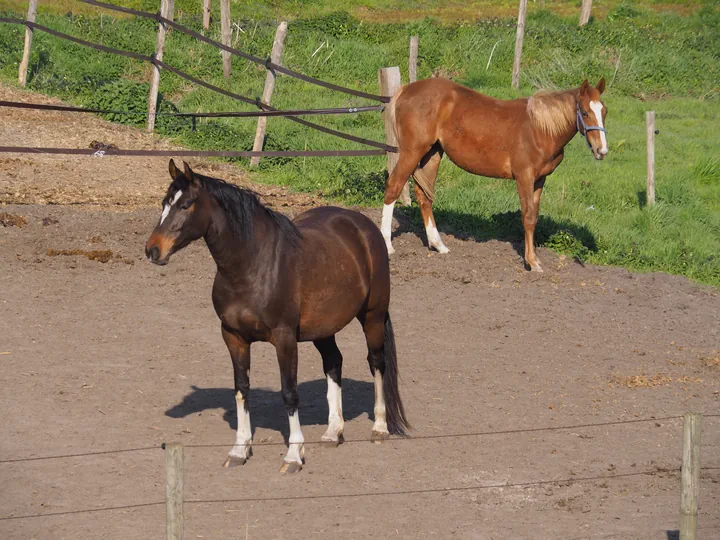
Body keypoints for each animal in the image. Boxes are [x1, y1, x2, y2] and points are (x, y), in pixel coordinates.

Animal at [143, 159, 408, 472]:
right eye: (164, 202)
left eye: (185, 205)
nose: (152, 250)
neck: (253, 265)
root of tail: (363, 226)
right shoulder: (233, 337)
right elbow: (242, 390)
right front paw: (239, 450)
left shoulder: (284, 339)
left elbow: (289, 393)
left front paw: (293, 455)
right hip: (324, 329)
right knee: (334, 362)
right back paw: (333, 431)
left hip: (373, 317)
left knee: (376, 362)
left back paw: (379, 427)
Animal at [382, 78, 608, 272]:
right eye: (585, 112)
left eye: (604, 112)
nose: (602, 151)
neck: (540, 129)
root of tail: (406, 89)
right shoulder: (524, 177)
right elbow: (527, 217)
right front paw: (532, 262)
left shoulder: (539, 180)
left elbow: (534, 216)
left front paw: (534, 258)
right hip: (412, 153)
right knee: (393, 187)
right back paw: (387, 244)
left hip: (432, 154)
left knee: (424, 197)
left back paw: (438, 245)